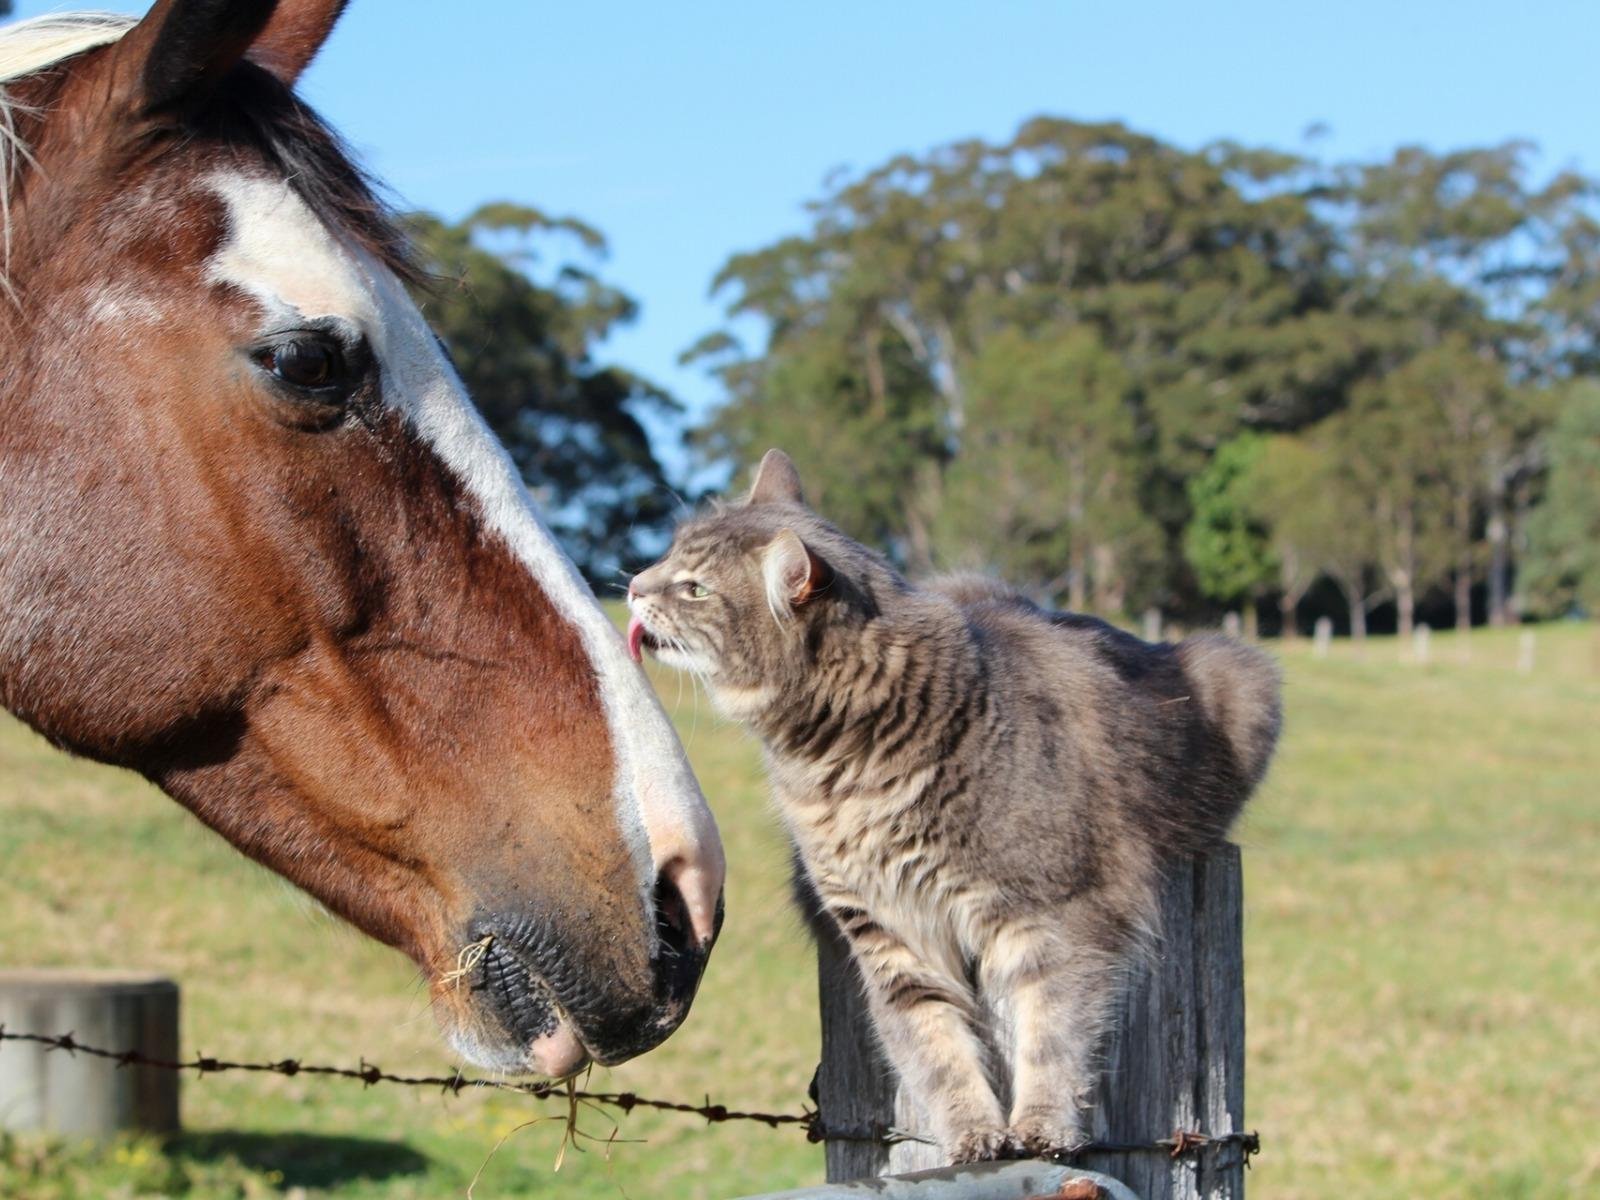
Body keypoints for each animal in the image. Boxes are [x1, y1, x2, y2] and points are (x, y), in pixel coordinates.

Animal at [617, 451, 1280, 1164]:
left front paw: (1040, 1126)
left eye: (695, 589)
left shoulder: (1063, 914)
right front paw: (972, 1132)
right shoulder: (888, 934)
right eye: (669, 558)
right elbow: (934, 1049)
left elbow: (1052, 1034)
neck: (841, 770)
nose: (632, 586)